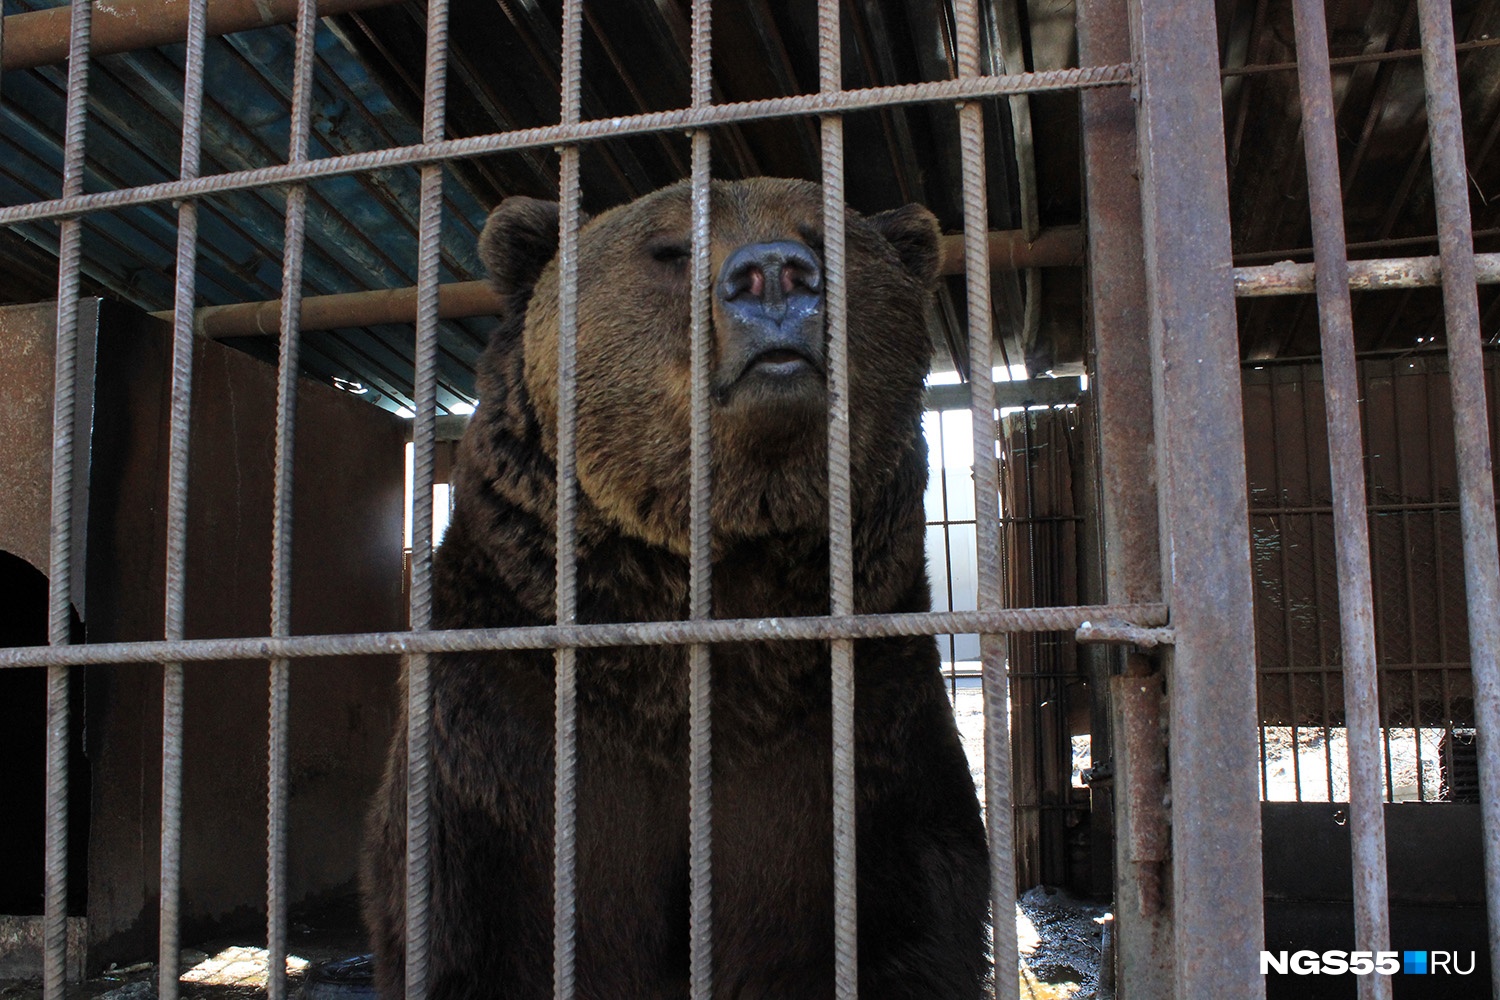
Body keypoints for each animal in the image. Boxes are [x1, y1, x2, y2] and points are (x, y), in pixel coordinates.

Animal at [360, 179, 996, 1000]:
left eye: (824, 236)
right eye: (669, 248)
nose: (773, 275)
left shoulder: (869, 736)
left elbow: (912, 921)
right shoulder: (500, 738)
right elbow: (478, 935)